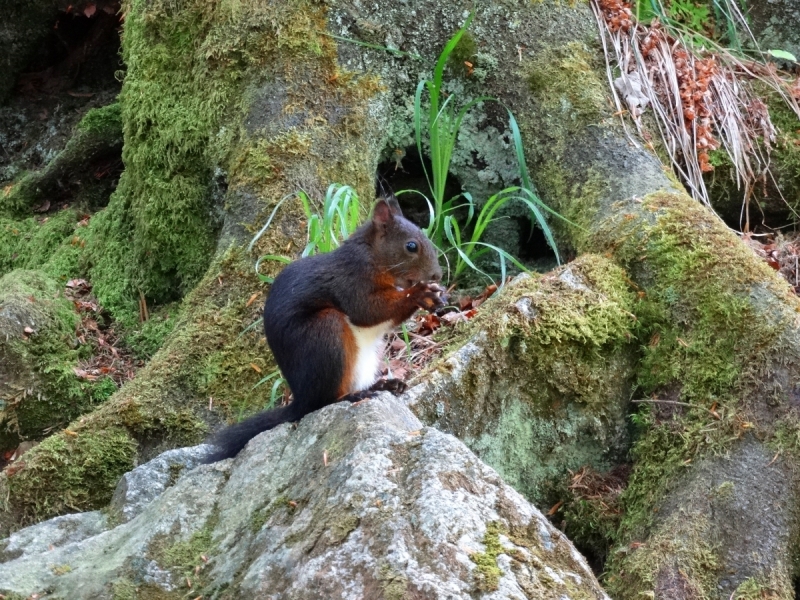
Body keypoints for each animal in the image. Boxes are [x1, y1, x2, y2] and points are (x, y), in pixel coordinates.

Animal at [203, 196, 446, 460]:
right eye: (411, 246)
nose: (438, 275)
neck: (372, 256)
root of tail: (300, 399)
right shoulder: (351, 281)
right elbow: (367, 311)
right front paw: (419, 293)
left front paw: (436, 298)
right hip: (325, 334)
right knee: (323, 402)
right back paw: (355, 396)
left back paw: (384, 385)